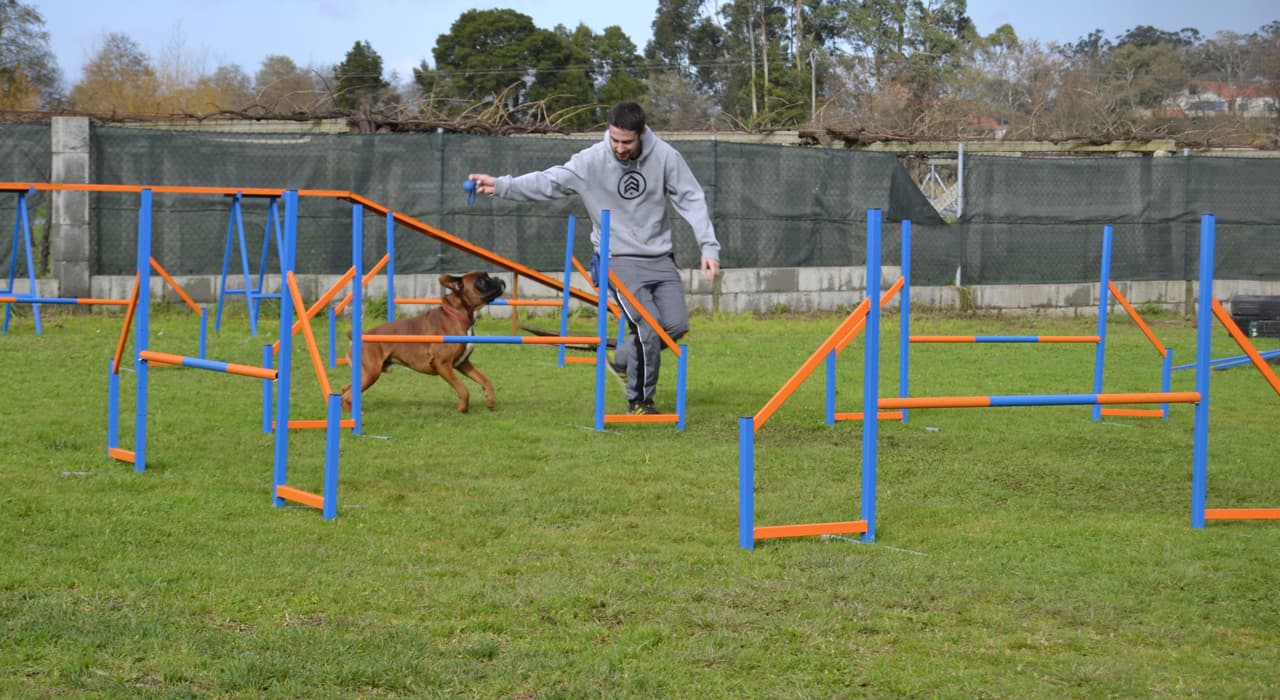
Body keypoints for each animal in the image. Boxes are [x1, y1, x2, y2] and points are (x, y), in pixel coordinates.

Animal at [343, 272, 506, 417]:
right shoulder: (443, 365)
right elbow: (463, 389)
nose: (498, 278)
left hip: (365, 374)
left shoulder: (463, 363)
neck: (458, 315)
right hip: (370, 373)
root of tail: (356, 337)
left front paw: (490, 402)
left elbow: (485, 380)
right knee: (347, 394)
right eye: (481, 281)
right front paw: (463, 409)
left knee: (345, 390)